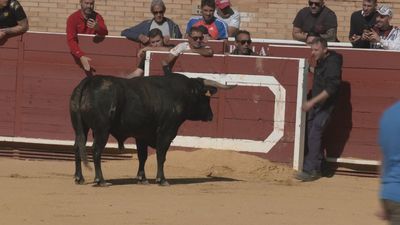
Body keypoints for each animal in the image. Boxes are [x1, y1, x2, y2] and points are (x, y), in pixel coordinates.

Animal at [70, 73, 236, 186]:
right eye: (206, 98)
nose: (211, 116)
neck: (184, 93)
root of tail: (90, 81)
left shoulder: (142, 135)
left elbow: (143, 156)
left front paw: (142, 179)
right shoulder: (166, 131)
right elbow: (161, 155)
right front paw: (162, 179)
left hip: (81, 127)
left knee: (78, 146)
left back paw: (79, 178)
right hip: (102, 130)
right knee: (96, 150)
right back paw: (101, 180)